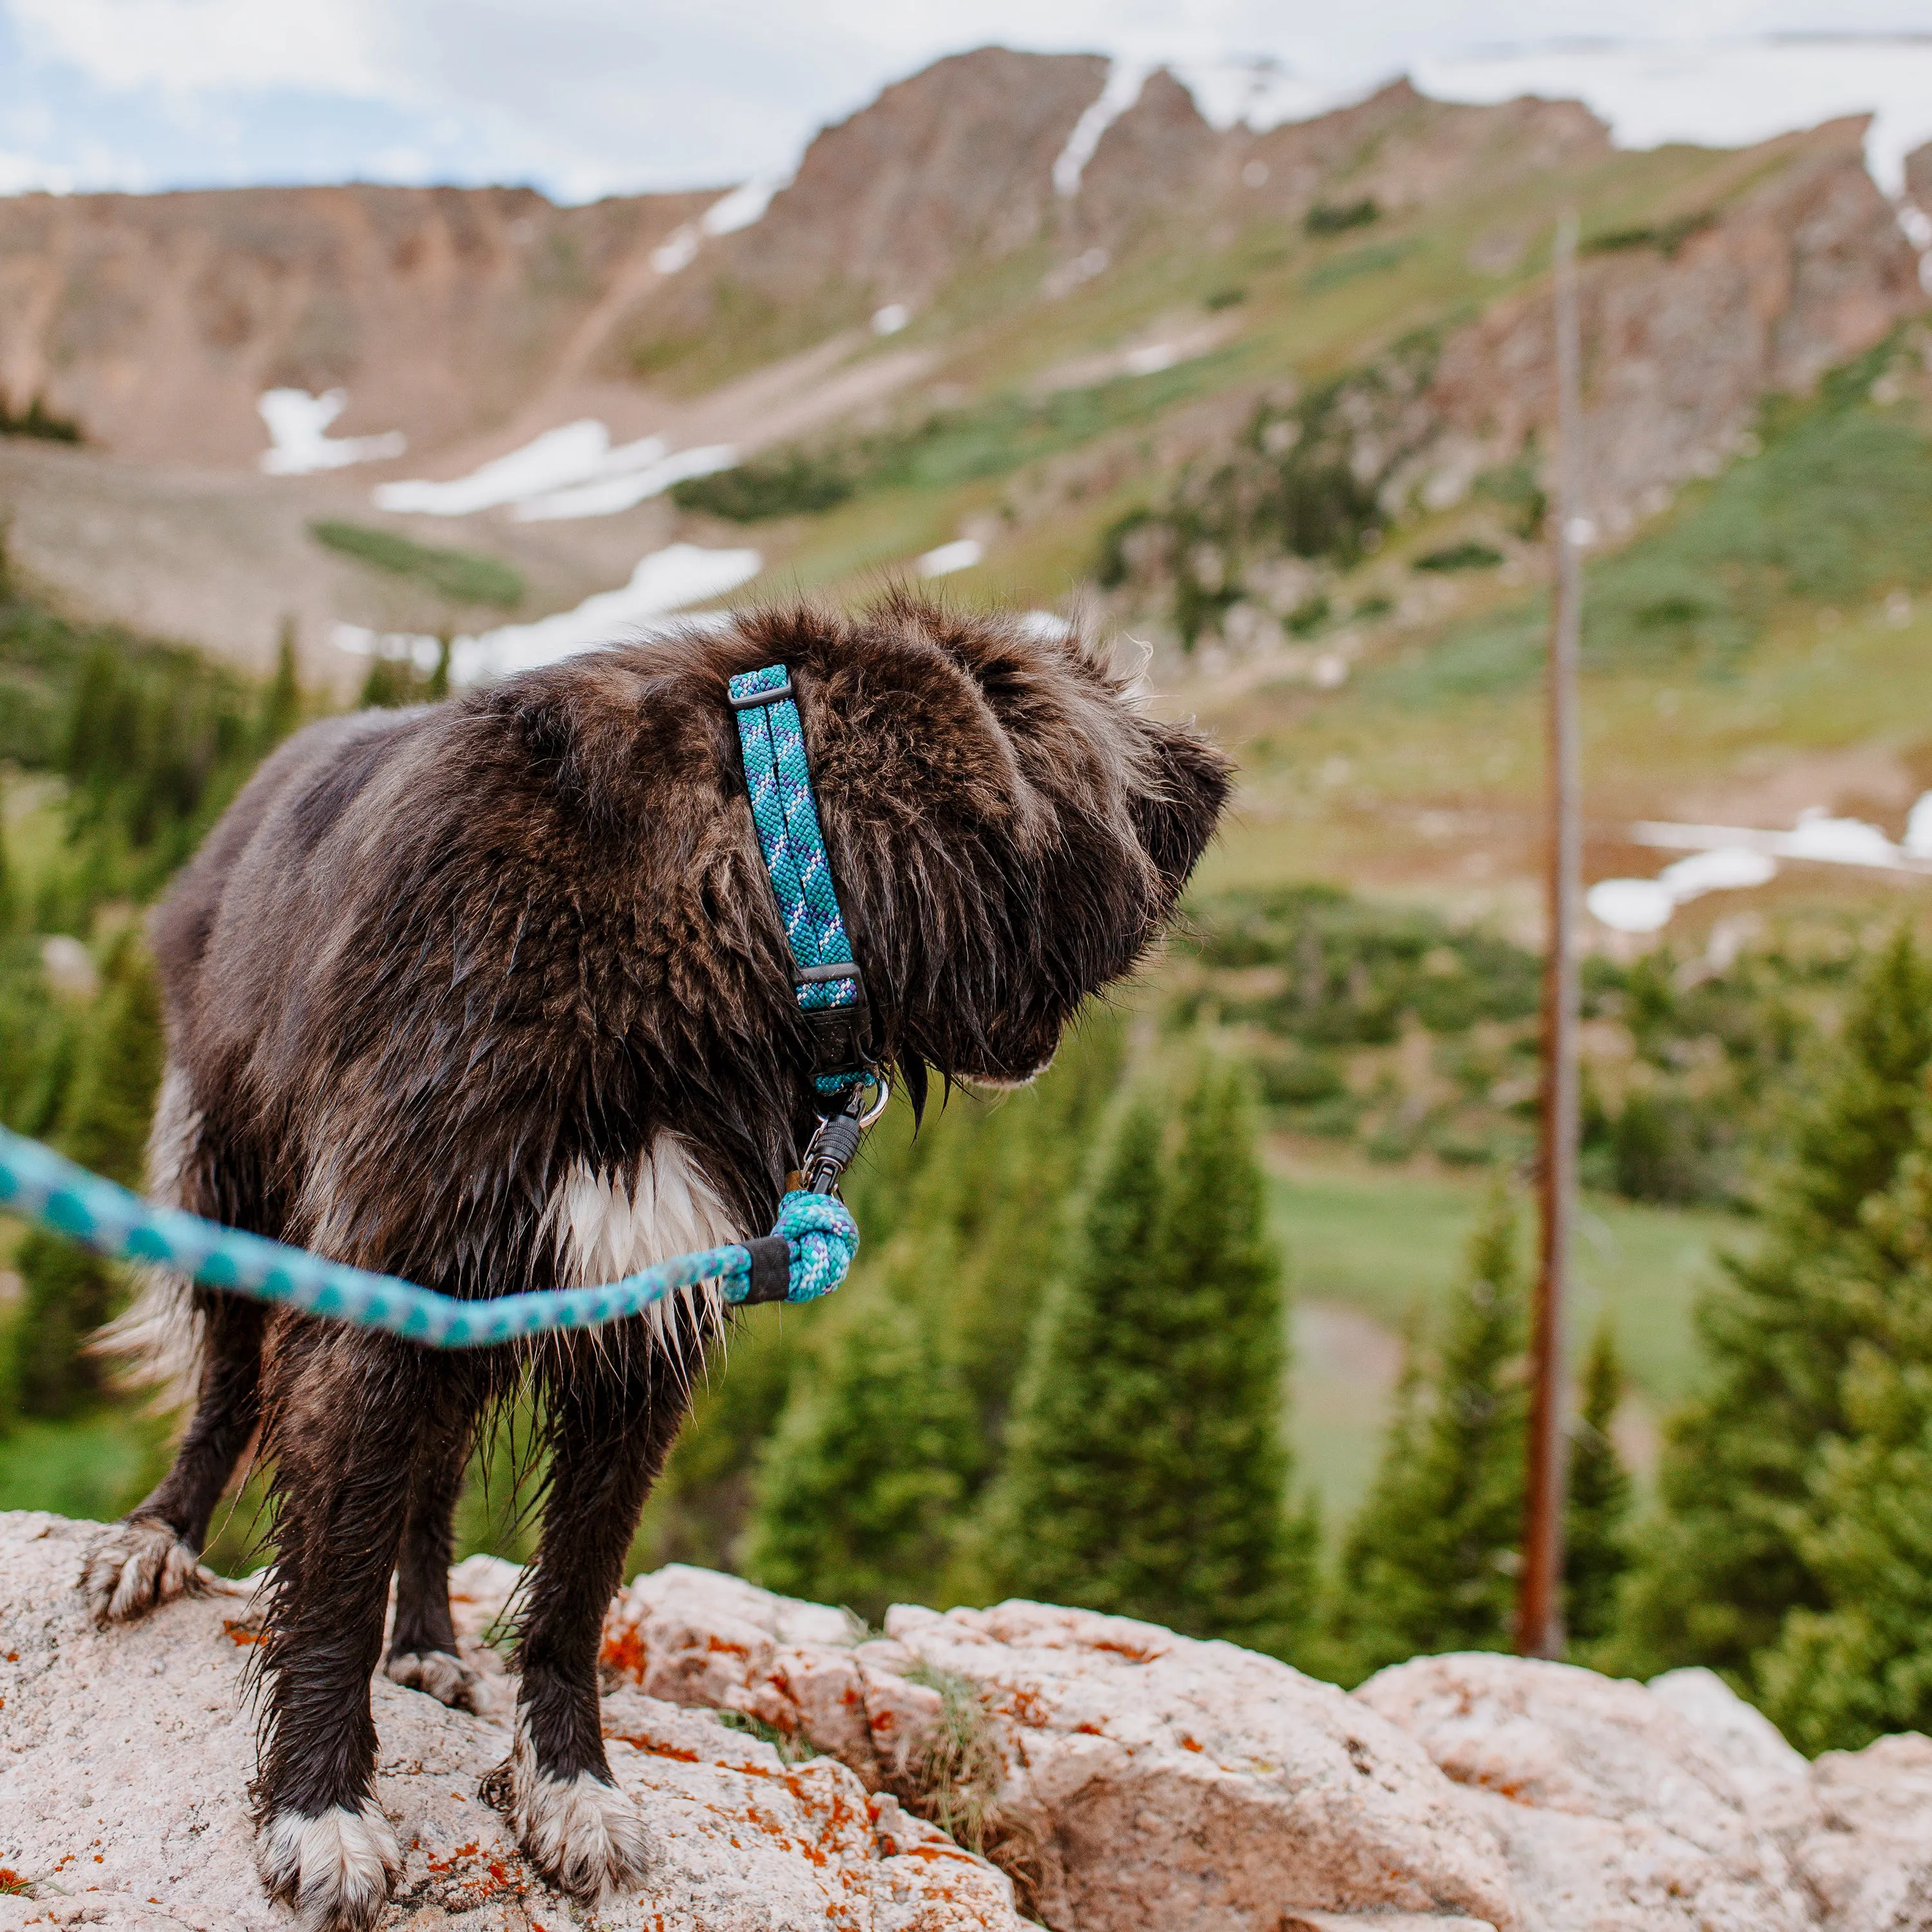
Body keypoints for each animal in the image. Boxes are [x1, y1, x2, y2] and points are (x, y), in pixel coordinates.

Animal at [83, 595, 1229, 1924]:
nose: (1209, 789)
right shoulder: (387, 1285)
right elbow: (328, 1580)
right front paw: (322, 1809)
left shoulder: (639, 1321)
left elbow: (575, 1593)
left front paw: (567, 1785)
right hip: (236, 1181)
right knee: (228, 1383)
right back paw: (159, 1537)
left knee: (431, 1475)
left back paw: (426, 1642)